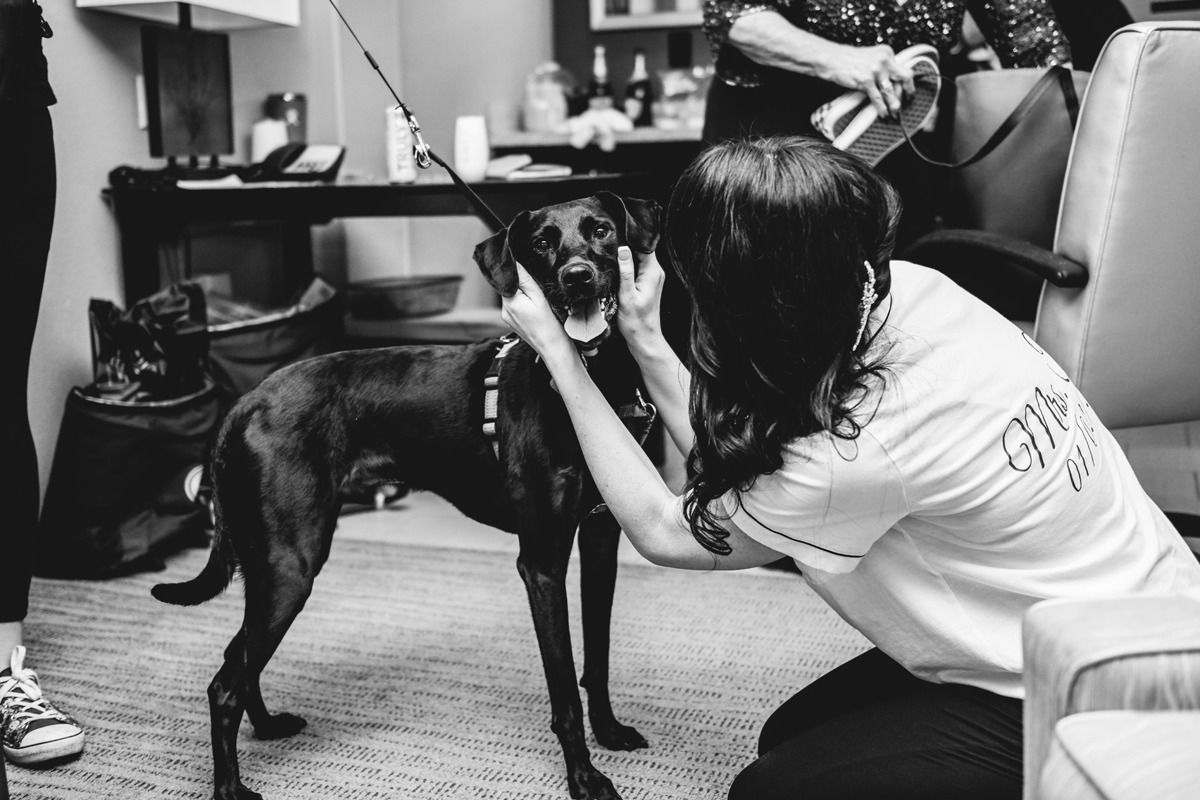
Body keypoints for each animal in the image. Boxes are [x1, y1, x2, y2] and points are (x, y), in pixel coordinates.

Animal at [153, 194, 662, 800]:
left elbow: (596, 660)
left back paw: (269, 726)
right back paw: (230, 787)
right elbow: (563, 689)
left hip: (271, 565)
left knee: (240, 656)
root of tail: (245, 402)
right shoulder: (541, 563)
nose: (577, 276)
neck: (587, 382)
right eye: (542, 243)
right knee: (225, 683)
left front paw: (609, 732)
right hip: (290, 567)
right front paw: (584, 778)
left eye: (602, 231)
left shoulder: (601, 544)